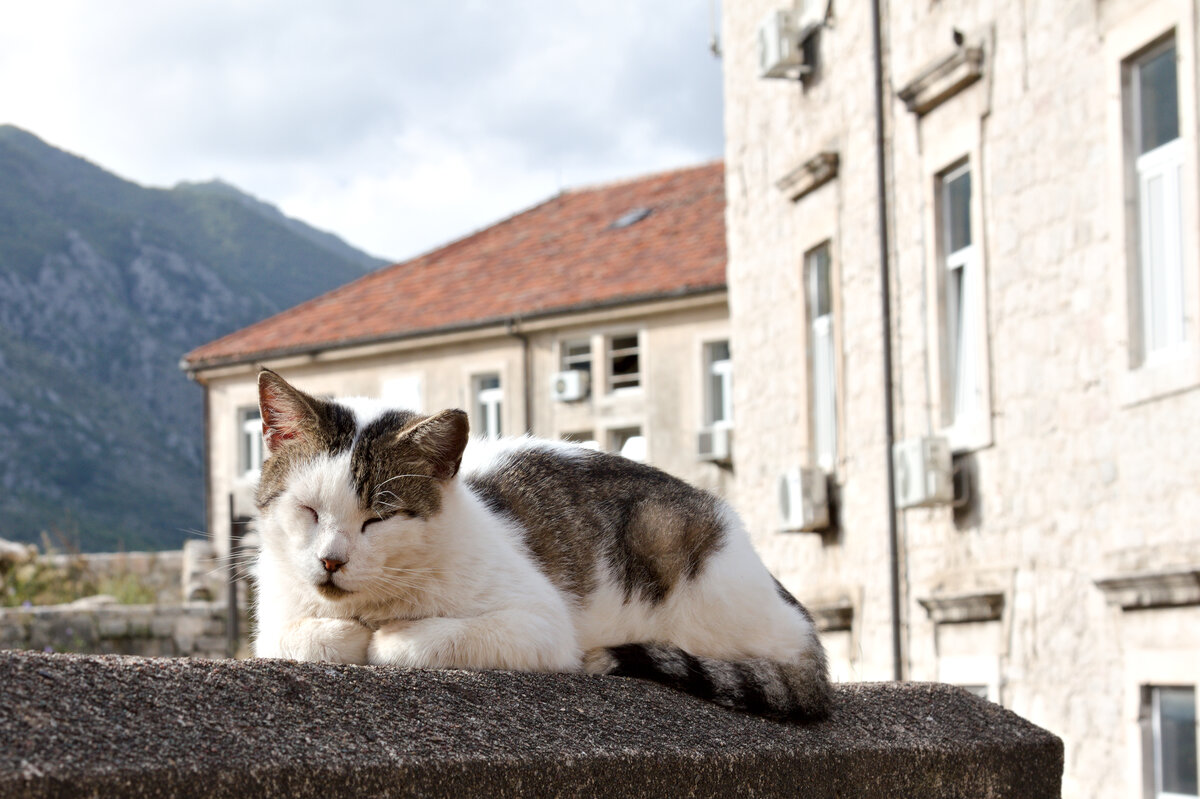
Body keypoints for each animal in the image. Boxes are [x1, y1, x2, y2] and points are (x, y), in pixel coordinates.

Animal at [250, 369, 835, 719]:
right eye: (308, 510)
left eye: (379, 518)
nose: (331, 560)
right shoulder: (274, 619)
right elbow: (298, 635)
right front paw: (341, 633)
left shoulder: (540, 626)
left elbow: (422, 639)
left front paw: (387, 638)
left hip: (677, 555)